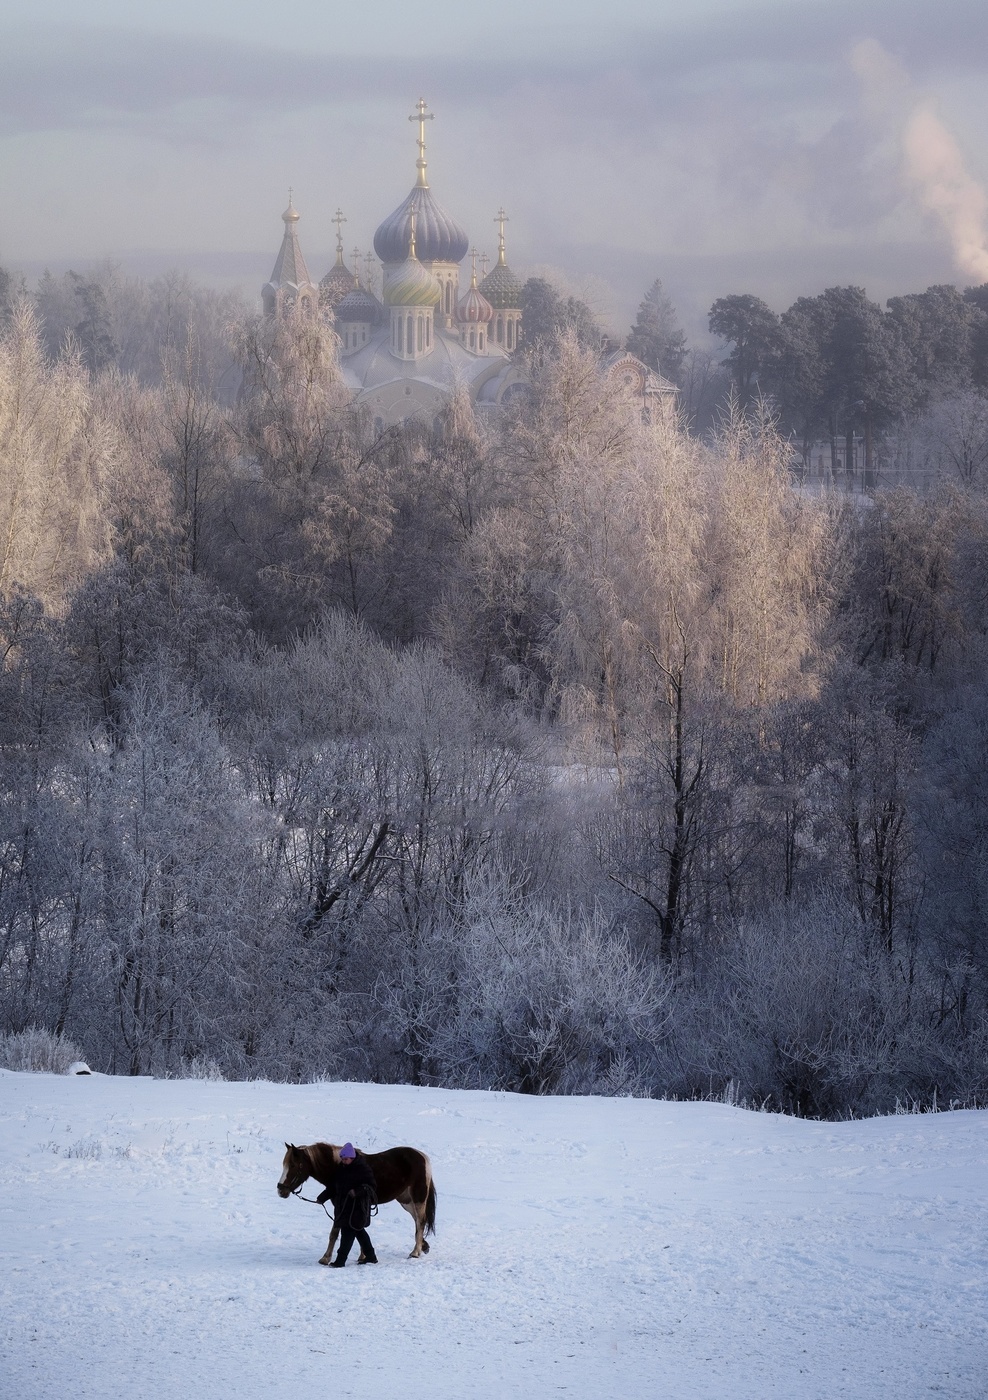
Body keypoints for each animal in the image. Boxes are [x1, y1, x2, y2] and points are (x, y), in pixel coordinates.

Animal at [275, 1142, 433, 1265]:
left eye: (294, 1165)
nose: (280, 1190)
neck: (337, 1168)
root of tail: (423, 1157)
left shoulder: (341, 1207)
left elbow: (335, 1233)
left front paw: (325, 1258)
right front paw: (363, 1256)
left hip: (418, 1199)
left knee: (420, 1221)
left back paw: (415, 1252)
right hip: (406, 1201)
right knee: (417, 1222)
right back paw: (423, 1246)